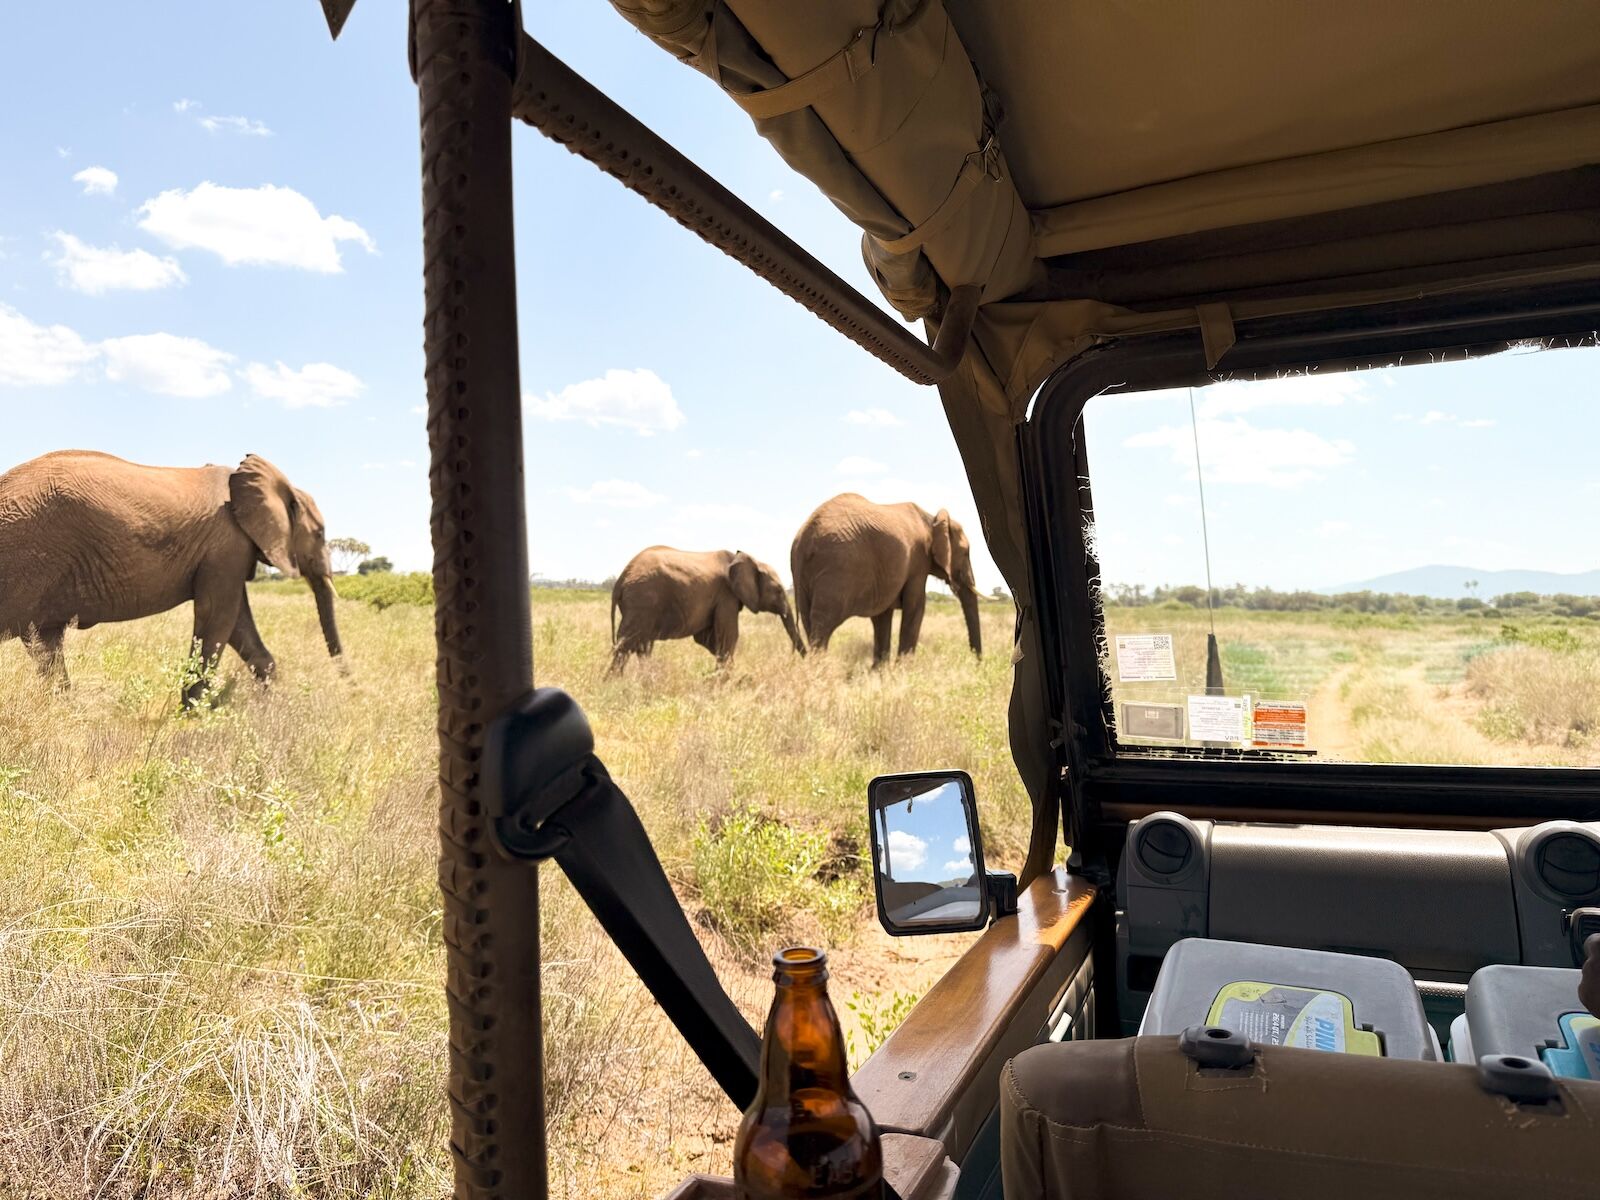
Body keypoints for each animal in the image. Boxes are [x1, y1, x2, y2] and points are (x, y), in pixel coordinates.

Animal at [0, 454, 344, 710]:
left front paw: (268, 705)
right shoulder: (227, 547)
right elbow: (218, 617)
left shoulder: (228, 553)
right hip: (24, 554)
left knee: (45, 642)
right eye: (319, 534)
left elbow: (237, 624)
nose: (347, 684)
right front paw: (190, 716)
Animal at [608, 550, 806, 672]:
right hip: (642, 600)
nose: (796, 660)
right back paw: (613, 684)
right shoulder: (726, 596)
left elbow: (707, 639)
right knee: (625, 646)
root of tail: (621, 580)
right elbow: (729, 635)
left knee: (642, 647)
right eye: (778, 590)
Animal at [790, 496, 979, 672]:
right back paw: (820, 672)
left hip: (804, 580)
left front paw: (879, 672)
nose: (977, 663)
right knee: (823, 625)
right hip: (837, 568)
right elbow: (916, 607)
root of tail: (805, 538)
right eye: (966, 553)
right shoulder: (918, 563)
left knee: (809, 623)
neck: (931, 519)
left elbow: (883, 615)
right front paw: (903, 672)